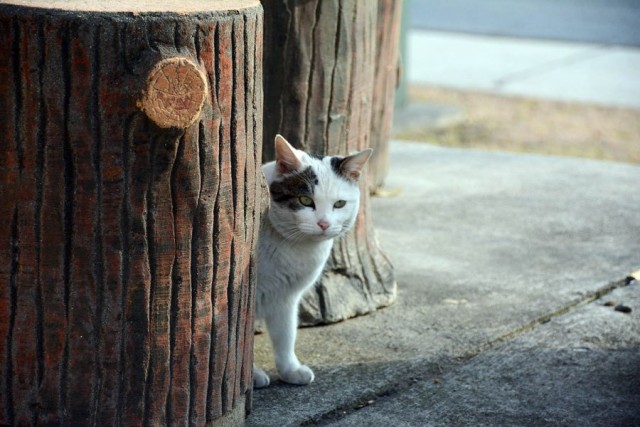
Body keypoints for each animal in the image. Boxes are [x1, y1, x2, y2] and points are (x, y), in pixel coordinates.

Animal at [252, 135, 372, 390]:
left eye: (339, 204)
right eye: (305, 200)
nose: (324, 224)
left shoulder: (285, 297)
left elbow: (285, 335)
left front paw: (290, 370)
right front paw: (251, 374)